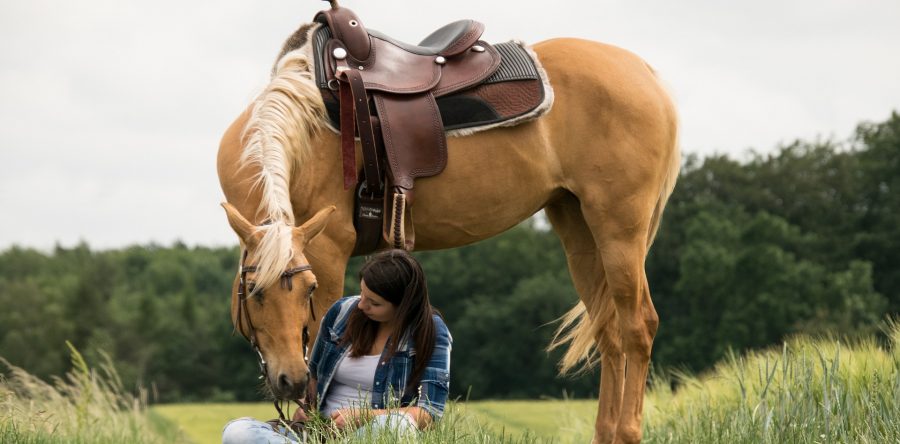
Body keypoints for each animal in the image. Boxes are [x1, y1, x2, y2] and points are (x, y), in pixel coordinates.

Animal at [217, 7, 679, 443]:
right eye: (253, 292)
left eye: (308, 289)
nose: (289, 380)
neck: (307, 127)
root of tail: (645, 74)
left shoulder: (328, 250)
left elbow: (320, 345)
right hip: (579, 228)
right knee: (609, 331)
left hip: (619, 228)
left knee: (638, 325)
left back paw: (628, 431)